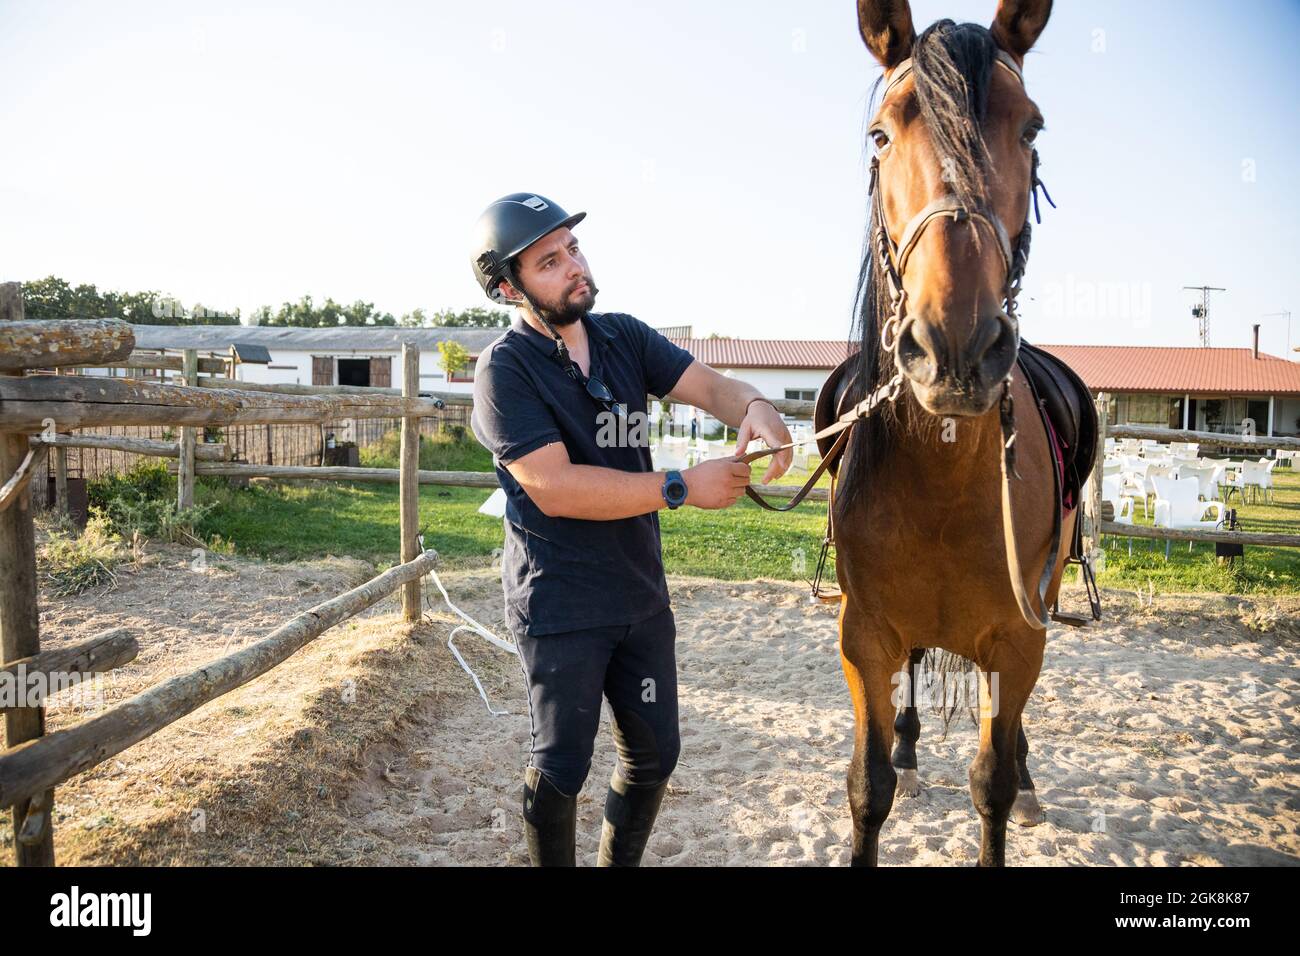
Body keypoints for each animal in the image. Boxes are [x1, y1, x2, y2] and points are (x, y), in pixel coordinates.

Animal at [826, 0, 1092, 868]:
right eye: (880, 135)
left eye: (1031, 129)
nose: (957, 348)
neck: (941, 475)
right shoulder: (865, 636)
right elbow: (868, 786)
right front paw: (894, 767)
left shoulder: (1016, 640)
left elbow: (992, 784)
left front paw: (1017, 783)